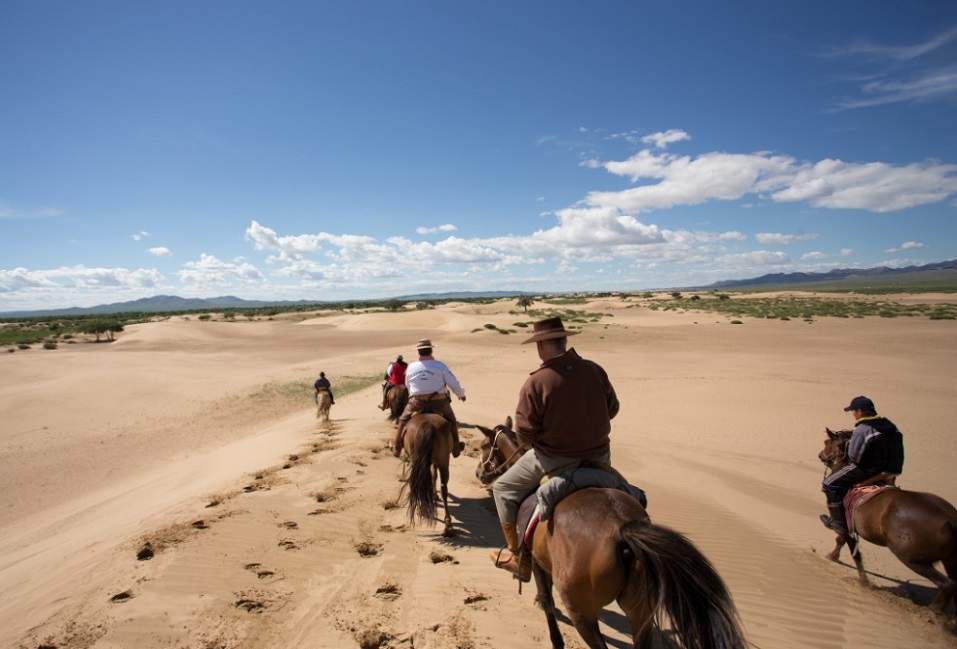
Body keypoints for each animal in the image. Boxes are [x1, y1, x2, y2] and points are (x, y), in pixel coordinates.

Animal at [474, 420, 744, 648]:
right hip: (641, 612)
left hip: (582, 611)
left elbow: (548, 603)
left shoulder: (538, 563)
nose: (479, 473)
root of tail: (622, 529)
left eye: (485, 446)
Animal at [816, 428, 956, 616]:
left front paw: (862, 580)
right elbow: (844, 542)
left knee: (947, 584)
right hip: (950, 559)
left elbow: (850, 548)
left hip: (911, 558)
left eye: (827, 442)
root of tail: (950, 520)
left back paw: (932, 613)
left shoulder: (847, 525)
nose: (820, 455)